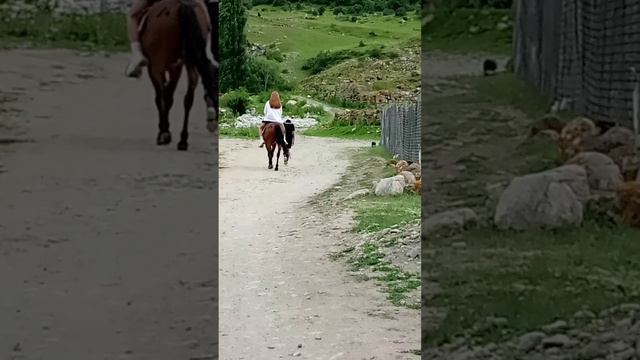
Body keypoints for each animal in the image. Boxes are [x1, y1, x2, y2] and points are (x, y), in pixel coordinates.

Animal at [138, 0, 218, 150]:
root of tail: (182, 5)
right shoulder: (176, 66)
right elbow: (169, 97)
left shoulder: (157, 67)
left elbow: (161, 97)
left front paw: (164, 132)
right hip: (190, 60)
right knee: (189, 96)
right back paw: (183, 139)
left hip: (158, 64)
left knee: (163, 96)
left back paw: (169, 135)